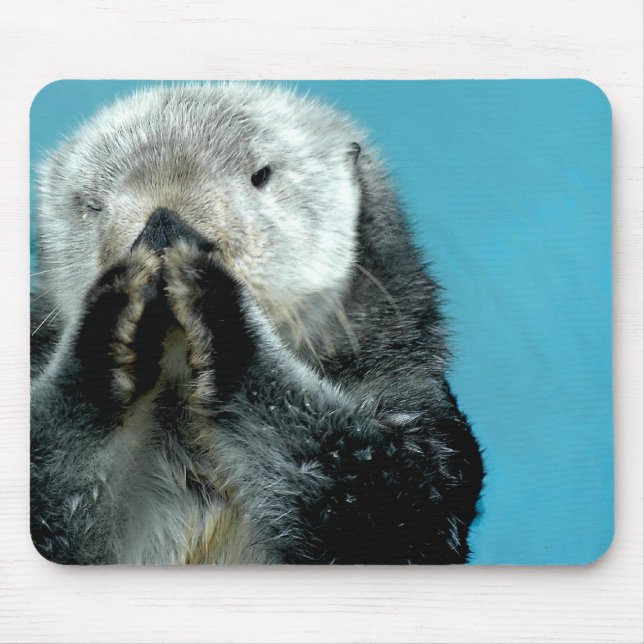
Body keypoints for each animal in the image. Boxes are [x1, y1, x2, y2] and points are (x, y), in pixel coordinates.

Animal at [30, 83, 484, 564]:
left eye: (262, 174)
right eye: (91, 204)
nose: (164, 222)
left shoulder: (409, 395)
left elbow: (393, 497)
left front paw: (218, 307)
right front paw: (109, 322)